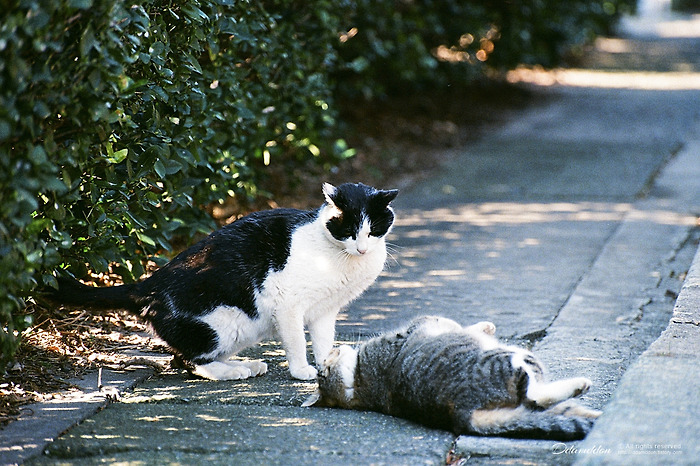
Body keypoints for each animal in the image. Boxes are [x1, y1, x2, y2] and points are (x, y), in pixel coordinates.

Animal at [46, 182, 400, 382]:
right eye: (350, 230)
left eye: (373, 229)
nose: (362, 248)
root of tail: (148, 285)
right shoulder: (288, 304)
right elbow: (298, 342)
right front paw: (302, 371)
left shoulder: (325, 311)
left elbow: (324, 341)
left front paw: (327, 365)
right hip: (221, 324)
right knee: (187, 361)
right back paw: (232, 372)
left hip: (245, 327)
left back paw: (246, 364)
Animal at [304, 314, 600, 438]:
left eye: (323, 371)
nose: (326, 354)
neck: (359, 382)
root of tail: (461, 412)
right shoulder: (431, 322)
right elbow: (462, 325)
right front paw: (486, 326)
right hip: (515, 357)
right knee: (534, 395)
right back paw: (581, 384)